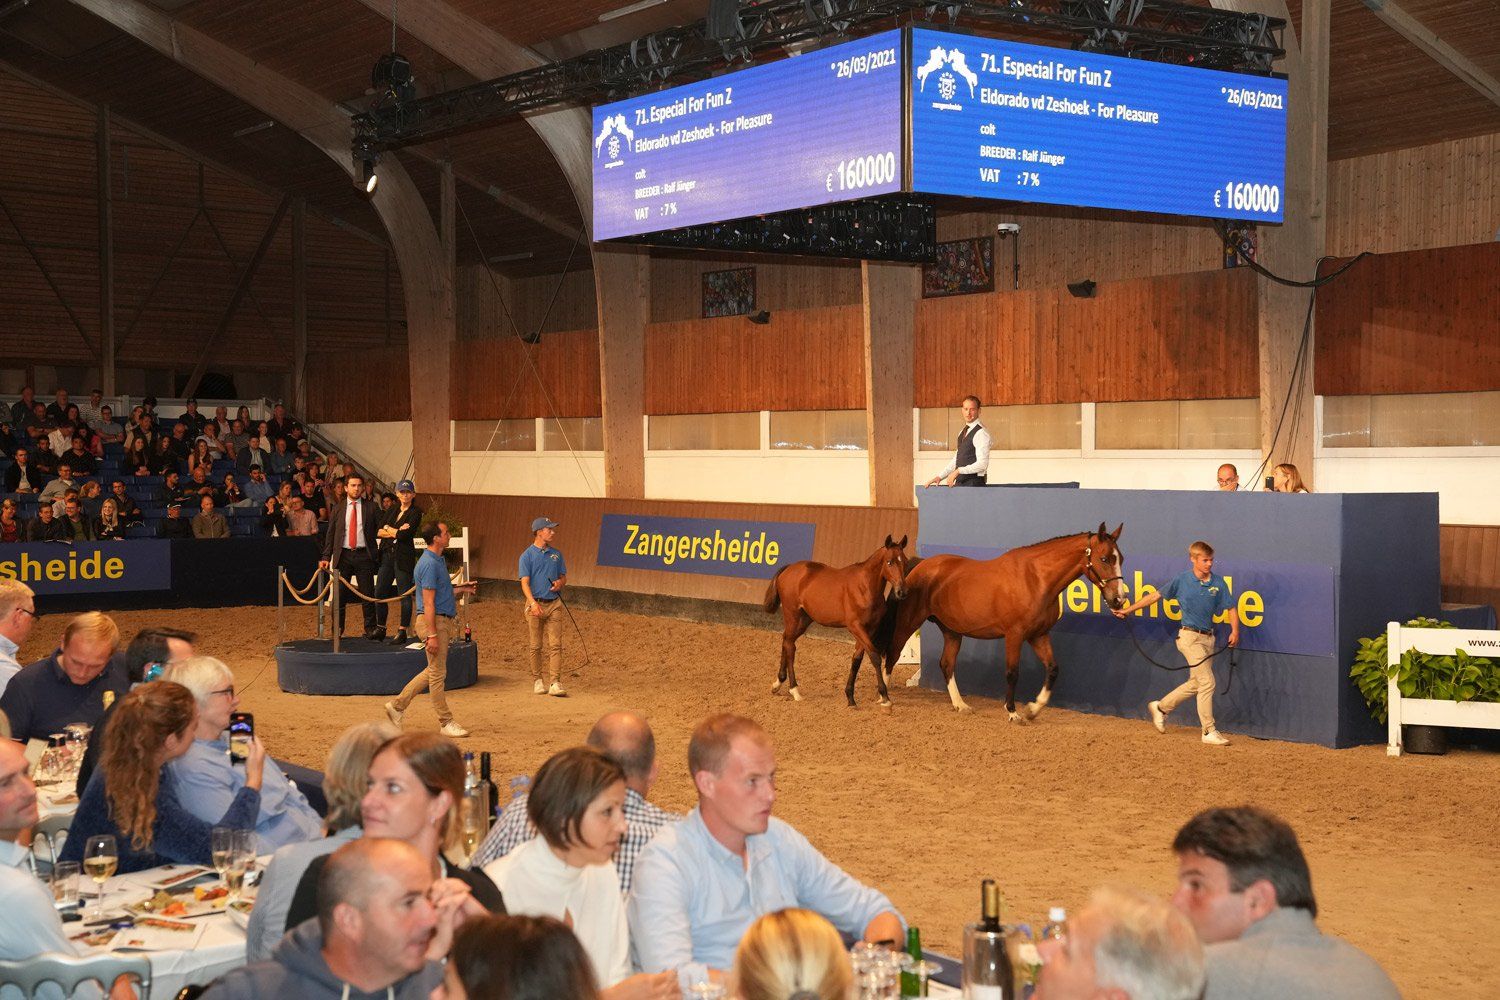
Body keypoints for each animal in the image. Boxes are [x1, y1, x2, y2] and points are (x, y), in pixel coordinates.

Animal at [762, 535, 911, 707]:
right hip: (792, 615)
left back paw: (778, 683)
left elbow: (857, 659)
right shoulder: (855, 627)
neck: (864, 587)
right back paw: (794, 690)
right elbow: (874, 656)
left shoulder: (869, 629)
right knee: (790, 646)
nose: (902, 592)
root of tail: (789, 568)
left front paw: (850, 697)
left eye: (905, 561)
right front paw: (885, 696)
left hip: (803, 620)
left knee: (787, 640)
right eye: (889, 562)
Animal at [873, 523, 1126, 720]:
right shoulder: (1014, 634)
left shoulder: (1038, 635)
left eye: (1120, 558)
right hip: (907, 623)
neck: (1035, 579)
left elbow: (1053, 669)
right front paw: (1013, 712)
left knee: (946, 664)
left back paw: (960, 705)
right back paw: (884, 698)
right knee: (891, 655)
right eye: (1104, 558)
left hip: (952, 631)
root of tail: (918, 566)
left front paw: (1033, 709)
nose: (1119, 599)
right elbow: (1012, 672)